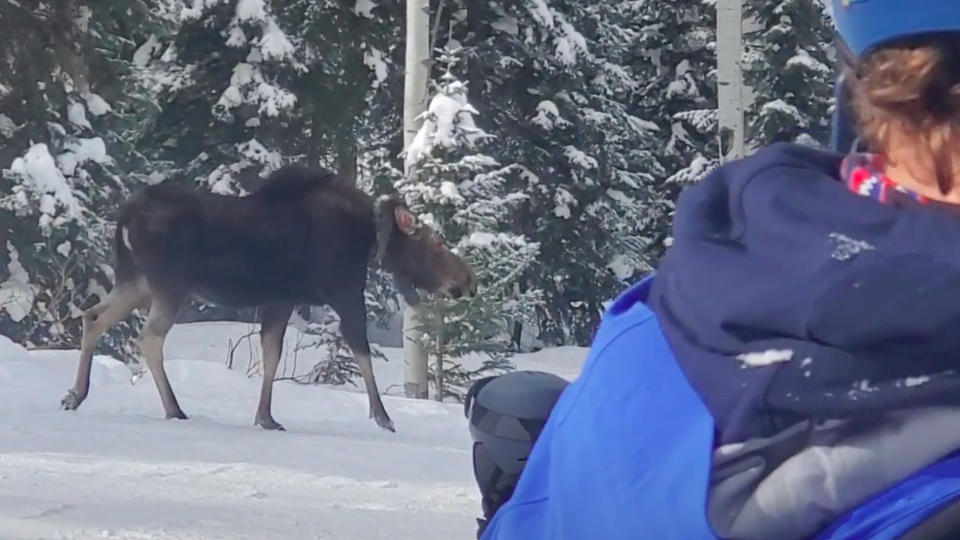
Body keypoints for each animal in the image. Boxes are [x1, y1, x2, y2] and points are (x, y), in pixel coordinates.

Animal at [60, 167, 476, 432]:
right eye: (437, 243)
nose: (467, 281)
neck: (369, 240)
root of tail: (125, 218)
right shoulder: (343, 291)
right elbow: (361, 352)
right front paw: (383, 416)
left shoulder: (281, 299)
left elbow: (271, 355)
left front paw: (266, 416)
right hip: (169, 285)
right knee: (148, 337)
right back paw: (173, 408)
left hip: (136, 281)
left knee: (93, 316)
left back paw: (75, 395)